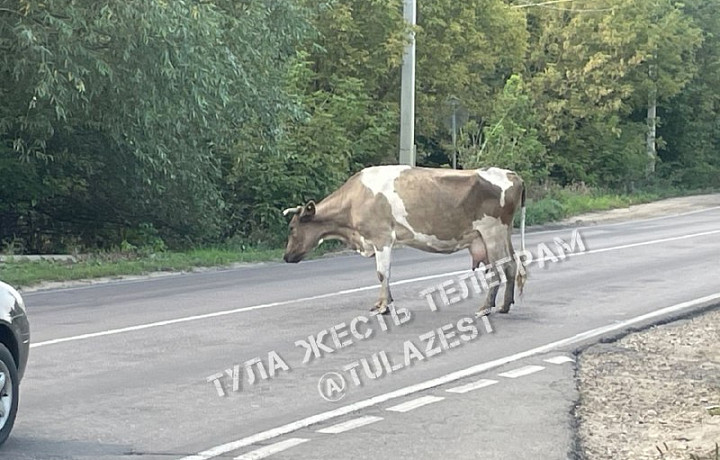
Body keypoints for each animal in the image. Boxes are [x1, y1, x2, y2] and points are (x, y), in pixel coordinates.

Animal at [284, 165, 524, 316]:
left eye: (292, 228)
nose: (286, 256)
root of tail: (512, 175)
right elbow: (384, 274)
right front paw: (383, 304)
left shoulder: (381, 238)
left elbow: (382, 273)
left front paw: (383, 307)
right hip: (499, 235)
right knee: (511, 266)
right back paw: (504, 306)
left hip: (492, 232)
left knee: (499, 270)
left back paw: (485, 309)